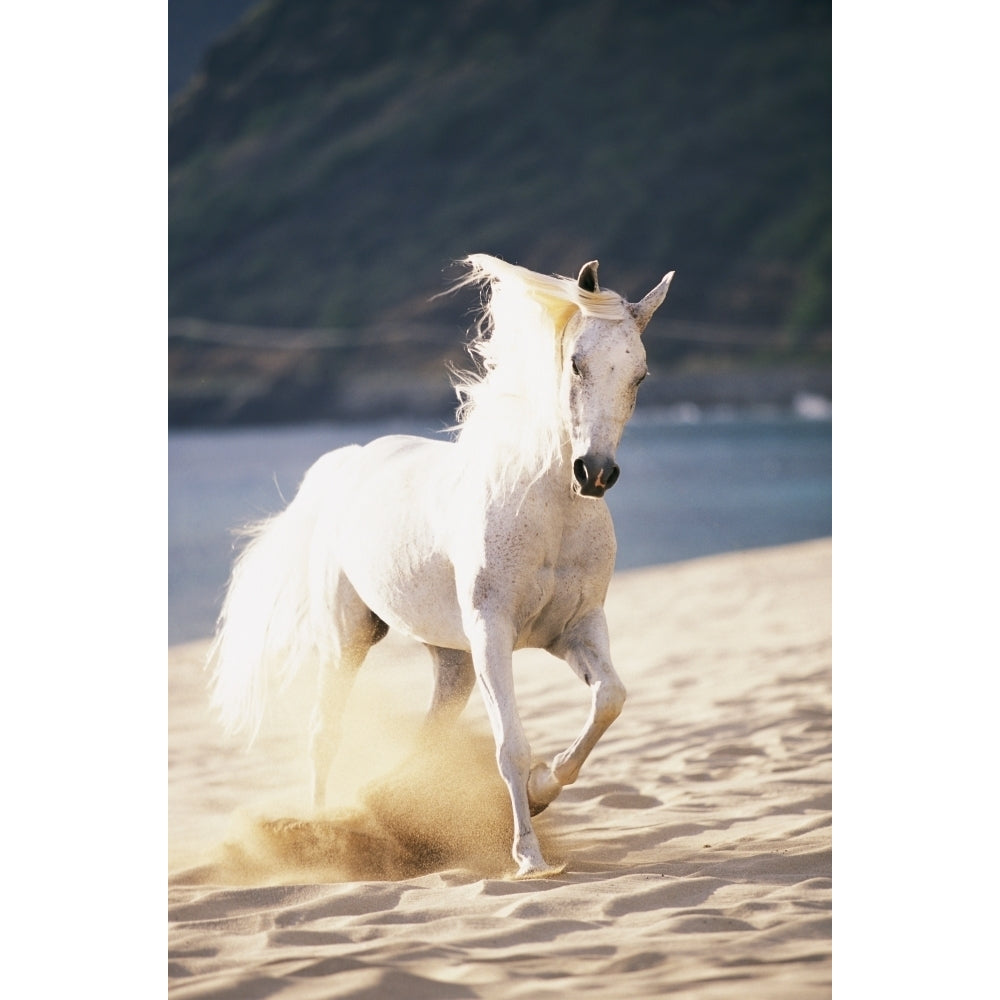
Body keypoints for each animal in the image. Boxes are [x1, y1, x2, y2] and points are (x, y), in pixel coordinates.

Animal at [207, 256, 672, 876]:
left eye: (639, 375)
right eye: (576, 363)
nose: (594, 473)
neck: (547, 512)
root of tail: (348, 462)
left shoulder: (575, 629)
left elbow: (610, 700)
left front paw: (543, 790)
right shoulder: (492, 632)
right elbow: (510, 746)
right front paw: (529, 857)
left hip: (452, 659)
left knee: (430, 734)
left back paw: (387, 808)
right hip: (349, 638)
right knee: (324, 732)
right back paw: (322, 831)